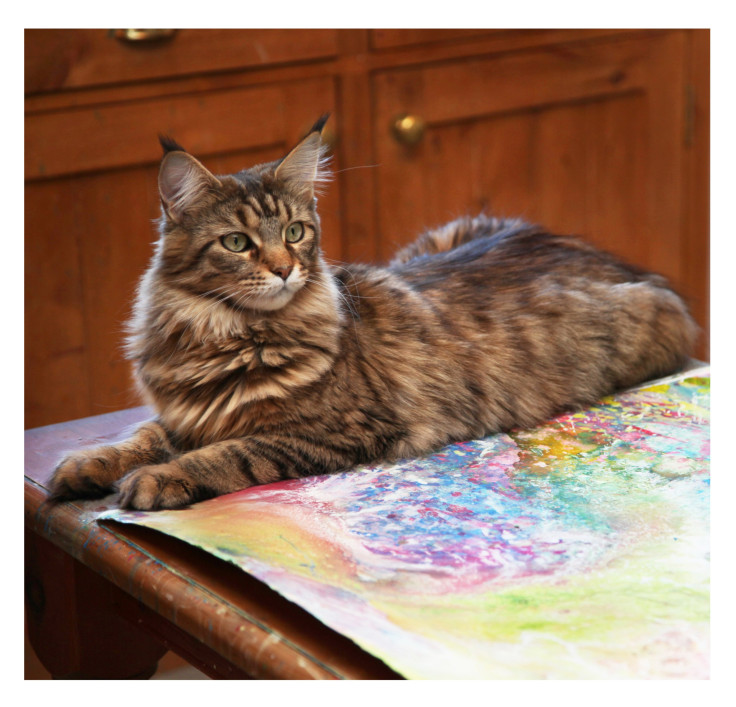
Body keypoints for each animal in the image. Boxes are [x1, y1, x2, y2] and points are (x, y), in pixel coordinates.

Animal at [50, 119, 696, 512]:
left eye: (295, 232)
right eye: (236, 243)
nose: (284, 269)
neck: (220, 334)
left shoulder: (334, 431)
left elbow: (230, 453)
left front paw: (156, 481)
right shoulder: (187, 412)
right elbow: (139, 436)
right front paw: (85, 466)